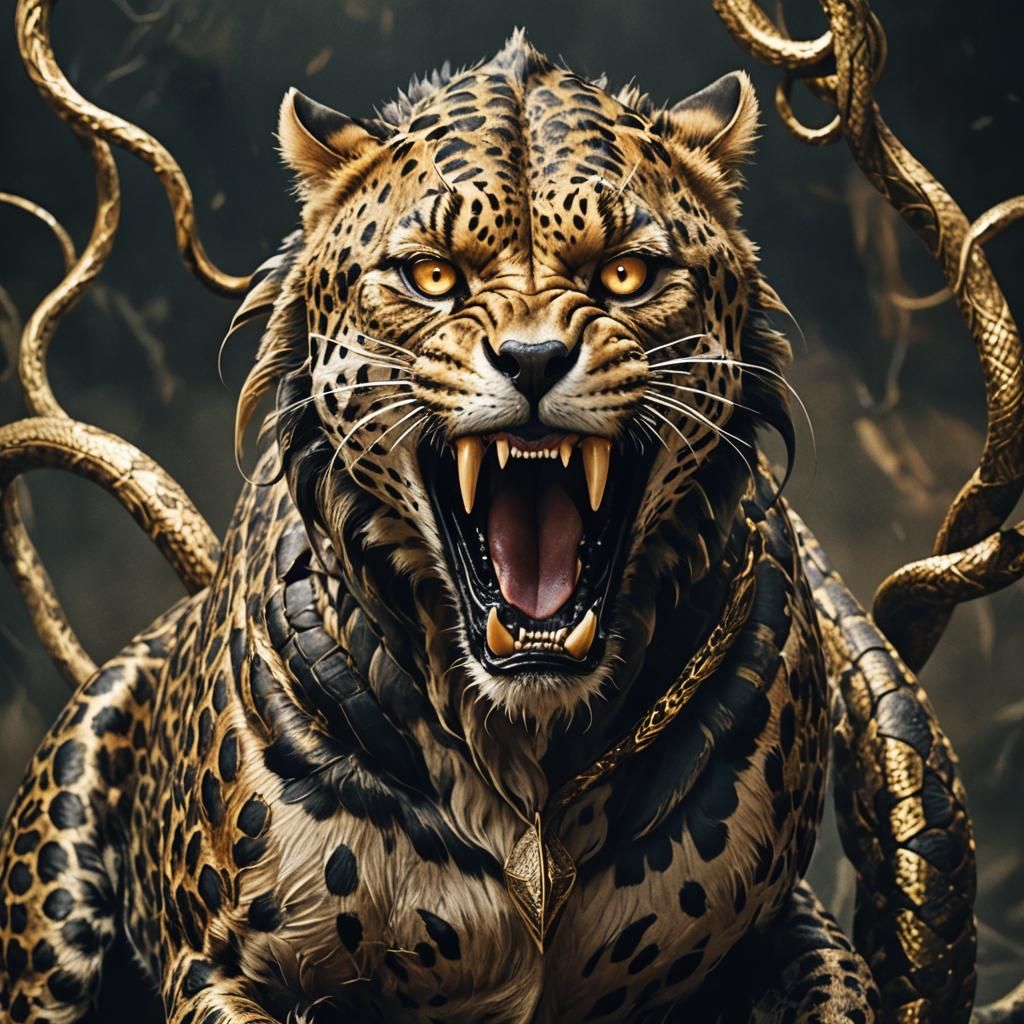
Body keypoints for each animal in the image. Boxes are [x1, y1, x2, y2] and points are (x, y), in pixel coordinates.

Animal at [0, 32, 979, 1024]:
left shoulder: (782, 930)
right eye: (433, 275)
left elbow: (841, 985)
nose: (535, 359)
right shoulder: (220, 964)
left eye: (625, 273)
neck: (527, 750)